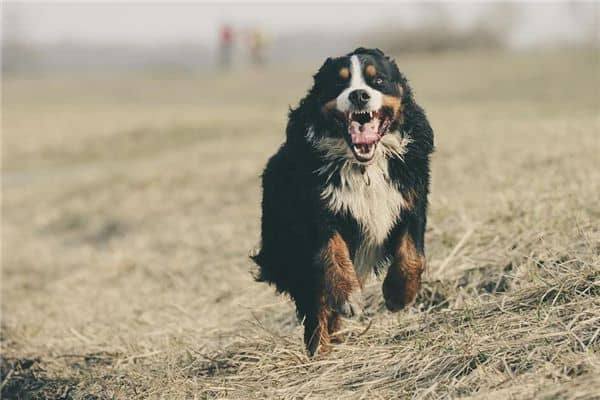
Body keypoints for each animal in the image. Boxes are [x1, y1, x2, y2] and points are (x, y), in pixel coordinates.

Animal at [251, 47, 434, 356]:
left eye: (378, 80)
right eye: (339, 83)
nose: (359, 95)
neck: (365, 167)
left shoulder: (411, 199)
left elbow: (413, 255)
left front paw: (398, 294)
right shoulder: (319, 212)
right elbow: (333, 254)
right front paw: (348, 297)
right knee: (316, 306)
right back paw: (320, 350)